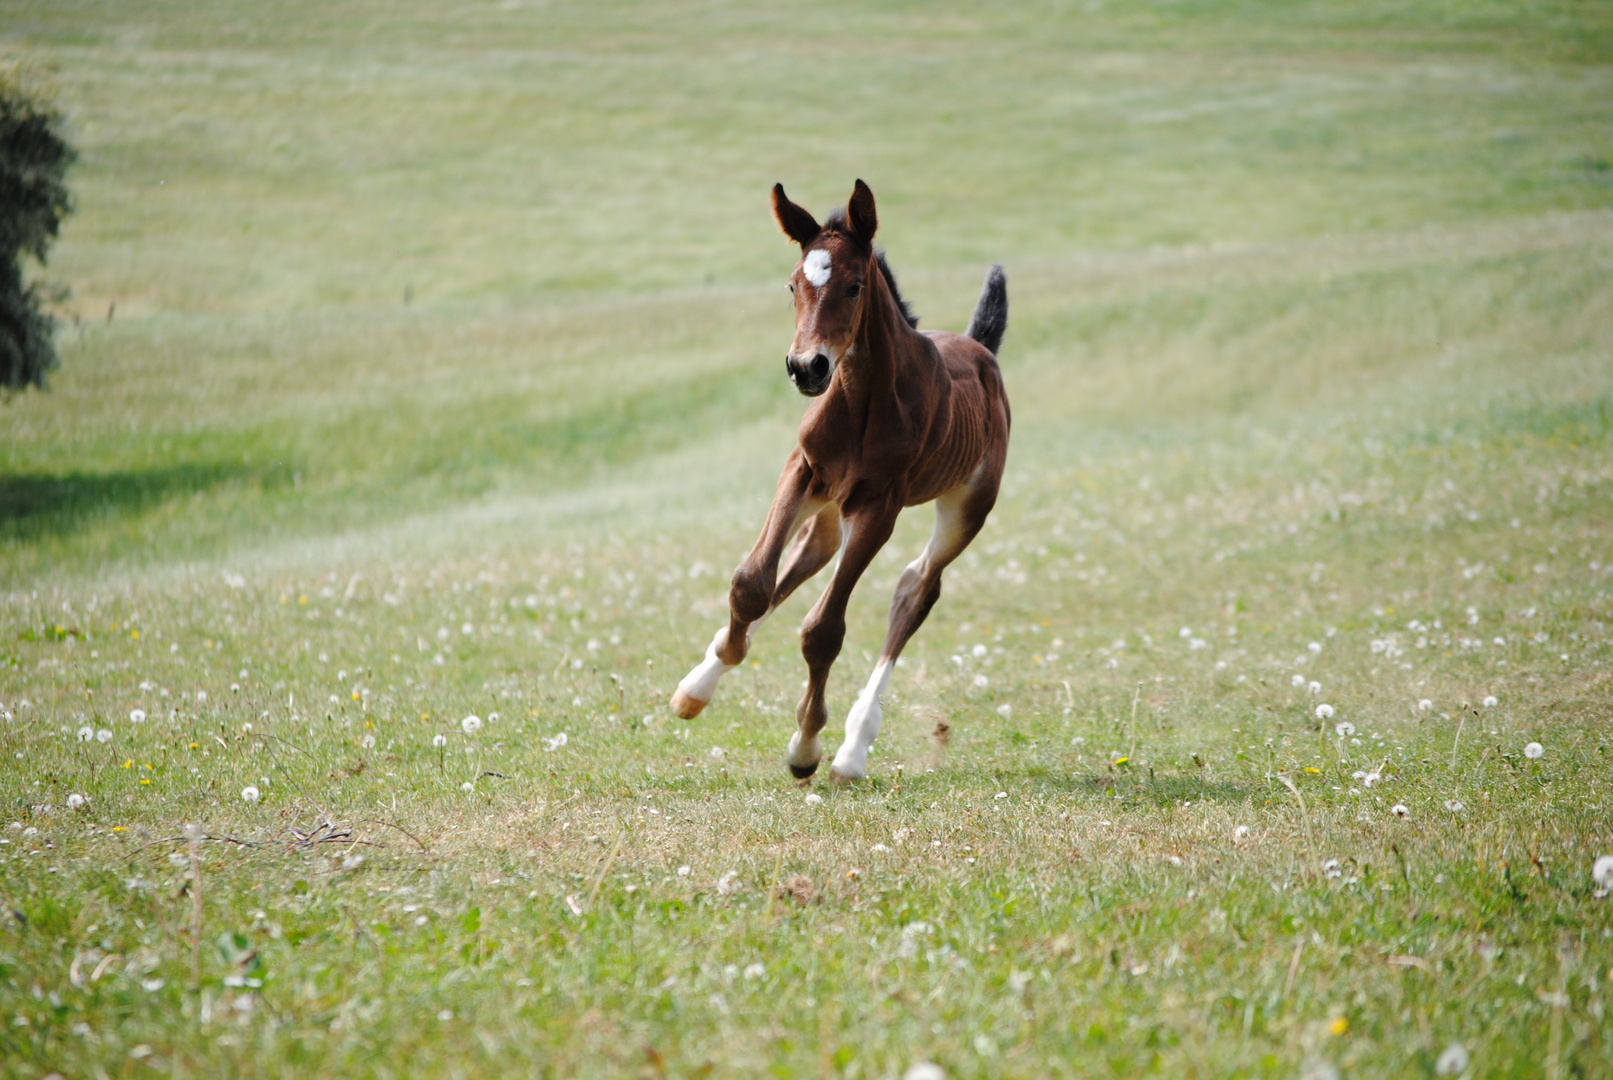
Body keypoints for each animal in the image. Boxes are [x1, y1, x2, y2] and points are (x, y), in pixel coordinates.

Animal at [667, 182, 1006, 783]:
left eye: (854, 286)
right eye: (793, 285)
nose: (807, 367)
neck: (864, 398)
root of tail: (982, 349)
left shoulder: (878, 505)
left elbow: (823, 629)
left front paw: (806, 745)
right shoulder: (803, 470)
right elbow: (751, 582)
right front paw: (706, 677)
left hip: (965, 509)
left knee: (916, 589)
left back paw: (853, 748)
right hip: (827, 508)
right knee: (807, 557)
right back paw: (700, 681)